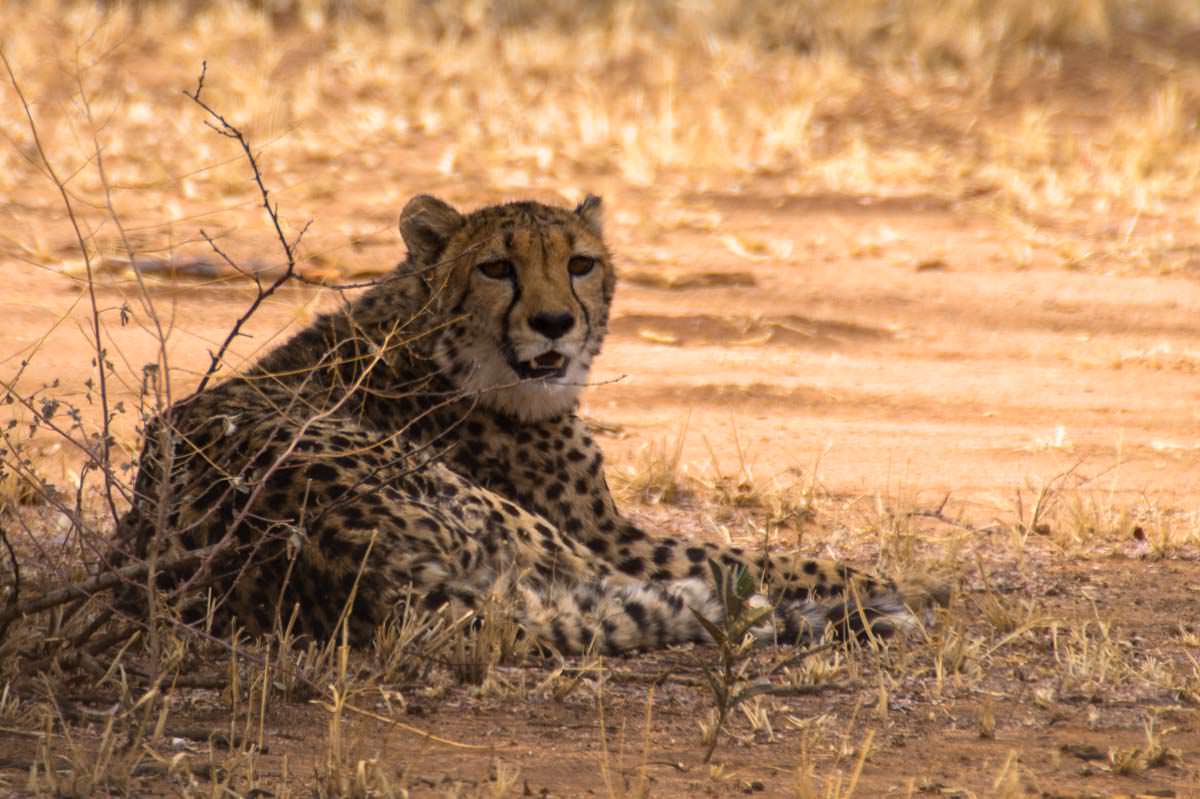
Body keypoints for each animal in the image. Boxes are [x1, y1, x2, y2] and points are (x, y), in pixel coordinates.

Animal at [114, 194, 936, 652]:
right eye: (496, 268)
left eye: (579, 263)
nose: (553, 324)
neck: (430, 337)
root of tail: (354, 575)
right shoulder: (614, 537)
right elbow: (758, 558)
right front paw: (890, 583)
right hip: (527, 533)